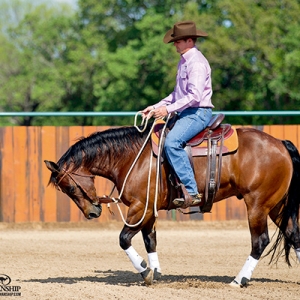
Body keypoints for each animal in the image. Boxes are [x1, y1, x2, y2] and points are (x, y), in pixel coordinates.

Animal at [44, 120, 300, 288]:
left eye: (69, 188)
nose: (92, 212)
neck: (134, 156)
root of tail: (280, 143)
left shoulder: (141, 207)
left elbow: (124, 239)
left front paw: (145, 271)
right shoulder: (149, 210)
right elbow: (150, 240)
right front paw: (155, 272)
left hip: (257, 205)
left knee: (260, 241)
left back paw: (239, 280)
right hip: (277, 206)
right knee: (294, 235)